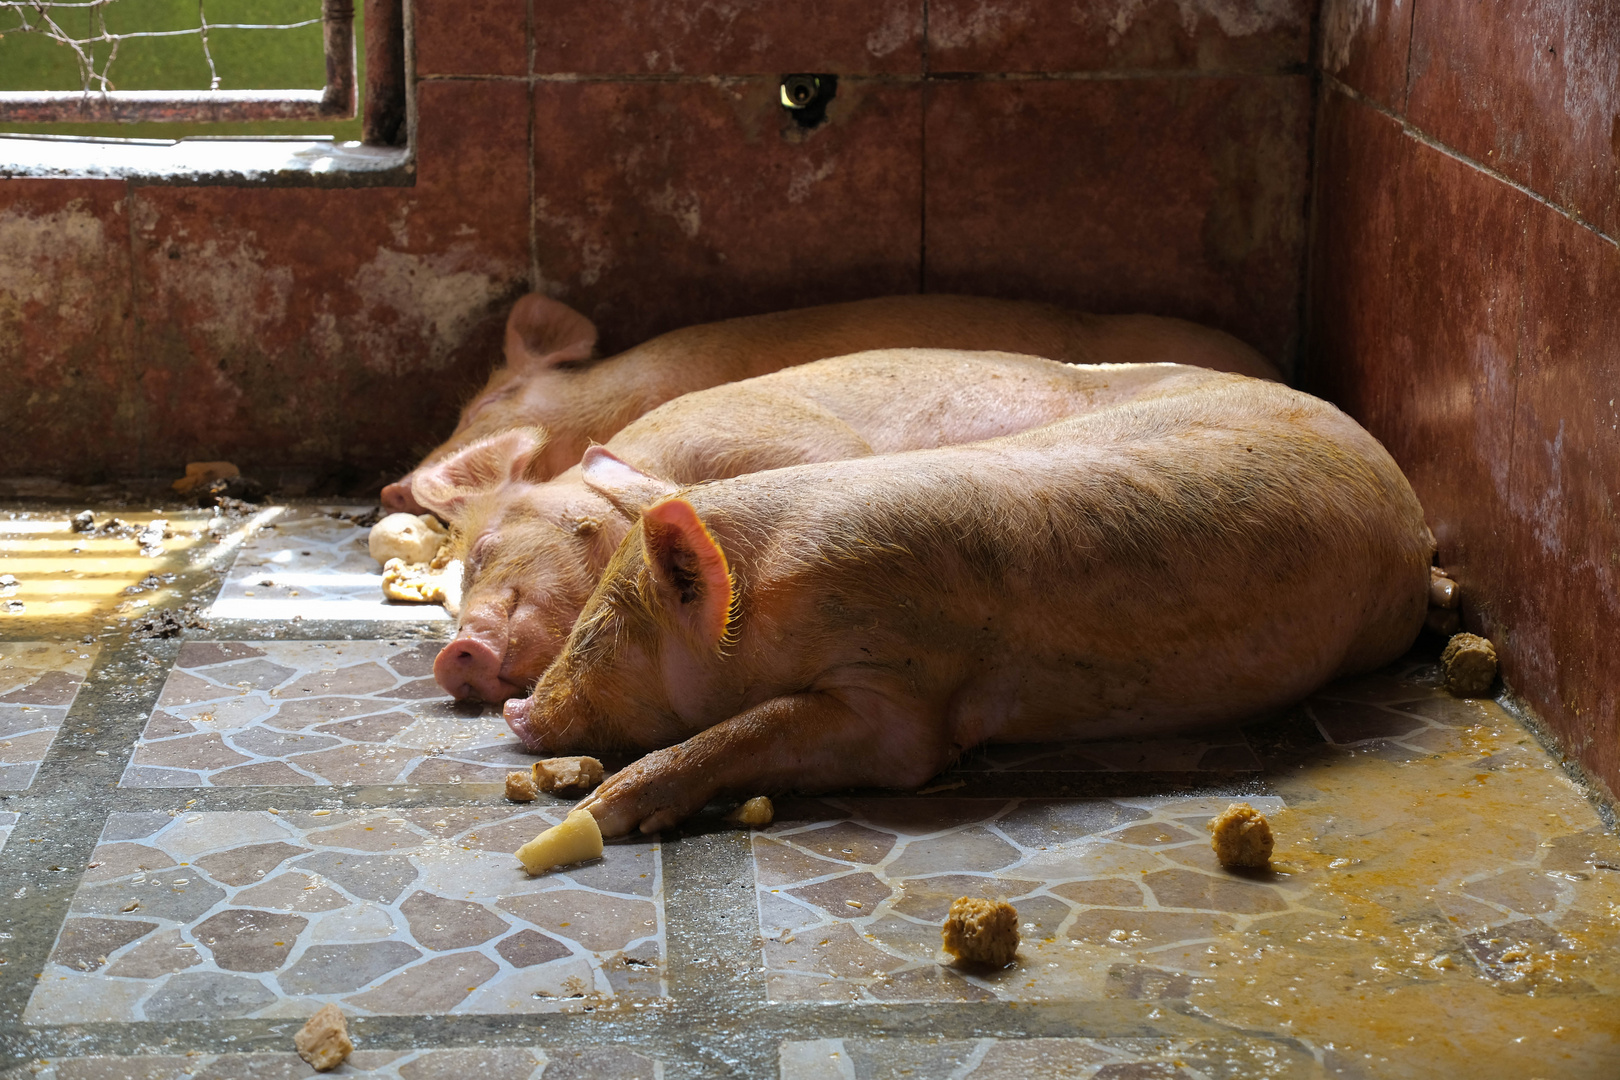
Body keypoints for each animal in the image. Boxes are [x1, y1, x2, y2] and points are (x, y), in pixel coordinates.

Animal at [502, 375, 1432, 841]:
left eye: (598, 632)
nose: (515, 710)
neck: (771, 595)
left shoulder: (901, 690)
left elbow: (770, 729)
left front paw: (594, 814)